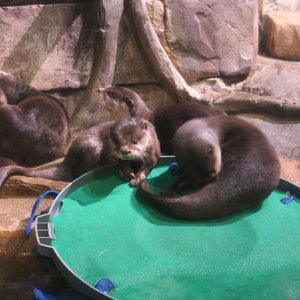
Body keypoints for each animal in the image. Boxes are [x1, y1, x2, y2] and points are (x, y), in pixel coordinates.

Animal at [0, 116, 161, 189]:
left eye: (135, 140)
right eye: (116, 142)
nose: (125, 150)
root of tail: (67, 160)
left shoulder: (153, 150)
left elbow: (150, 163)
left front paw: (138, 176)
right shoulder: (113, 154)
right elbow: (119, 163)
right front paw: (127, 170)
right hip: (91, 145)